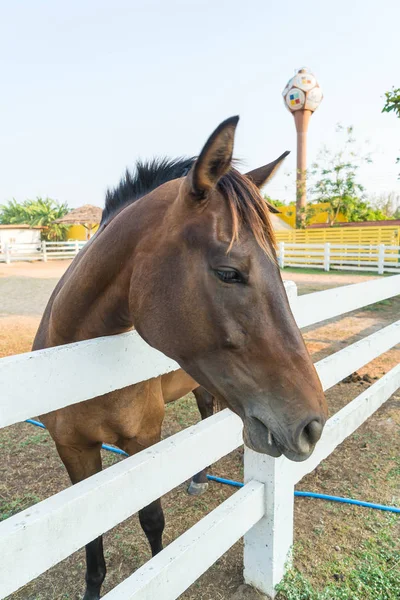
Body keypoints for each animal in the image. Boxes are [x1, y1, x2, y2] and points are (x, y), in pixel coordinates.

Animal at [33, 118, 328, 600]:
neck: (79, 361)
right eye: (229, 272)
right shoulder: (73, 450)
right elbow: (91, 540)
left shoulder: (143, 442)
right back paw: (198, 477)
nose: (313, 425)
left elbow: (152, 521)